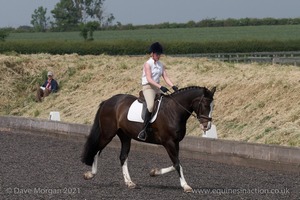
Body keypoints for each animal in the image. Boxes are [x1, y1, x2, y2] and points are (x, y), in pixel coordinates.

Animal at [81, 86, 216, 192]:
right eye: (205, 105)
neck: (174, 110)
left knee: (123, 157)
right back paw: (90, 174)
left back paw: (130, 183)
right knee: (96, 150)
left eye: (213, 106)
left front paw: (154, 172)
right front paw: (185, 186)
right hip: (108, 134)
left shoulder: (175, 142)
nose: (207, 126)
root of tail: (108, 101)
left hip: (125, 136)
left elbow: (176, 163)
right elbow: (177, 164)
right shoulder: (169, 142)